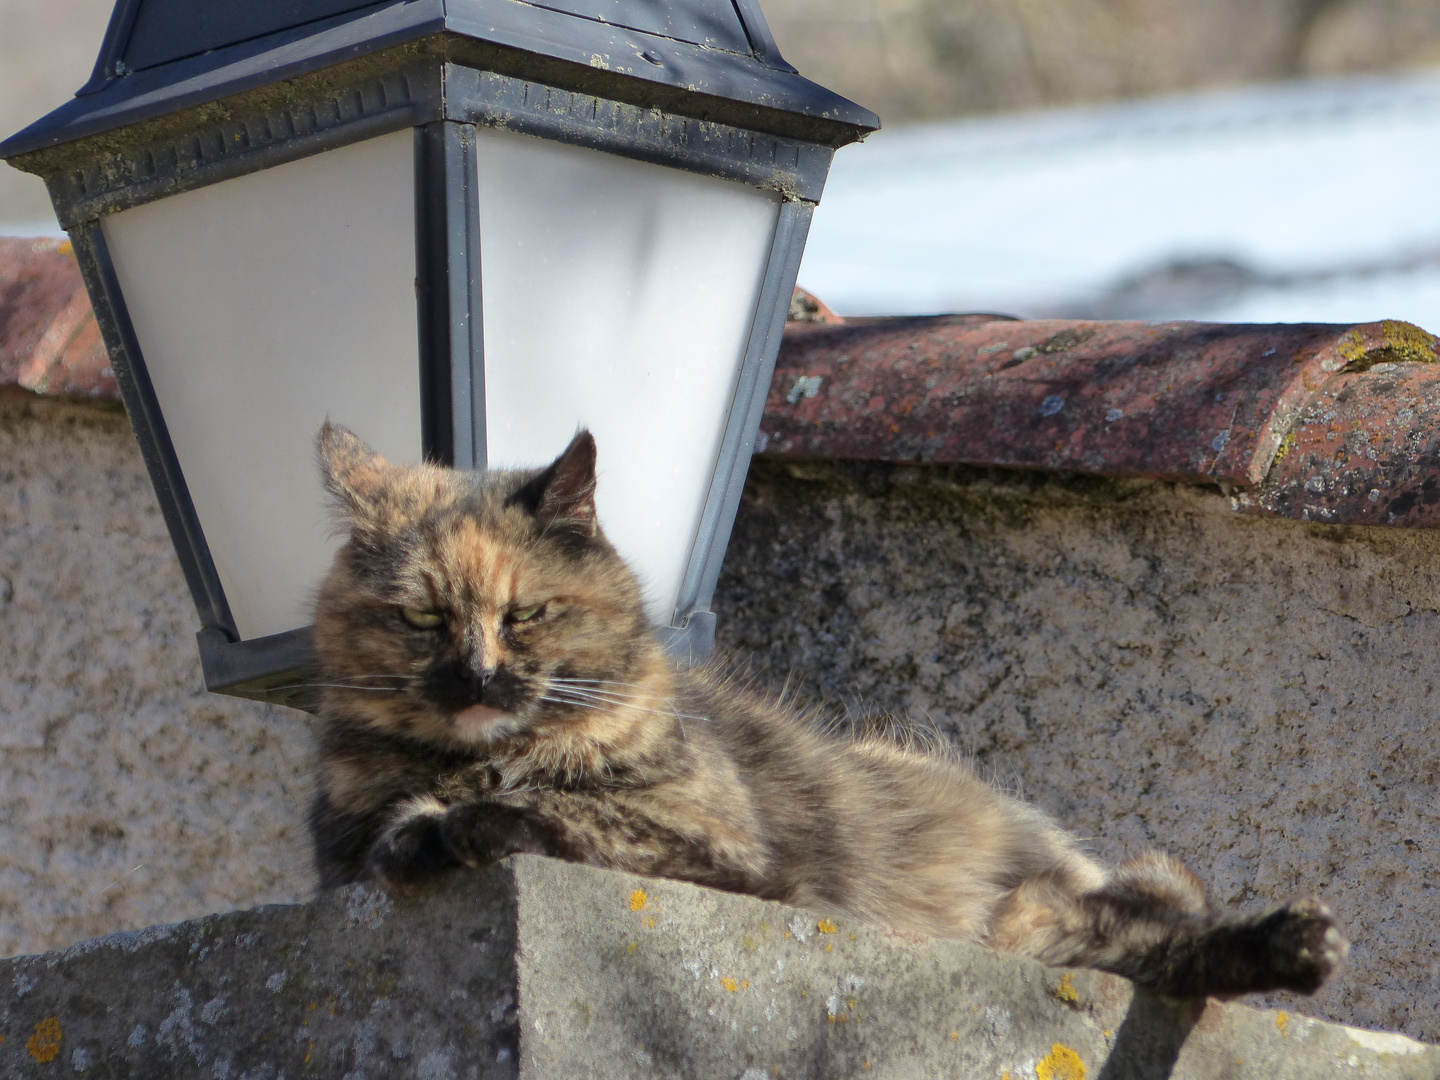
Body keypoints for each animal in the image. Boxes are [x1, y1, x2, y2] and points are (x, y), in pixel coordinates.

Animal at [309, 426, 1342, 1002]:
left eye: (525, 614)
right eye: (420, 619)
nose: (476, 678)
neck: (480, 758)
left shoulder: (722, 846)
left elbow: (555, 810)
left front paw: (460, 822)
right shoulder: (342, 847)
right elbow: (395, 833)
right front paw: (422, 827)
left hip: (1036, 915)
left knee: (1168, 939)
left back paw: (1297, 943)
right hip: (1038, 929)